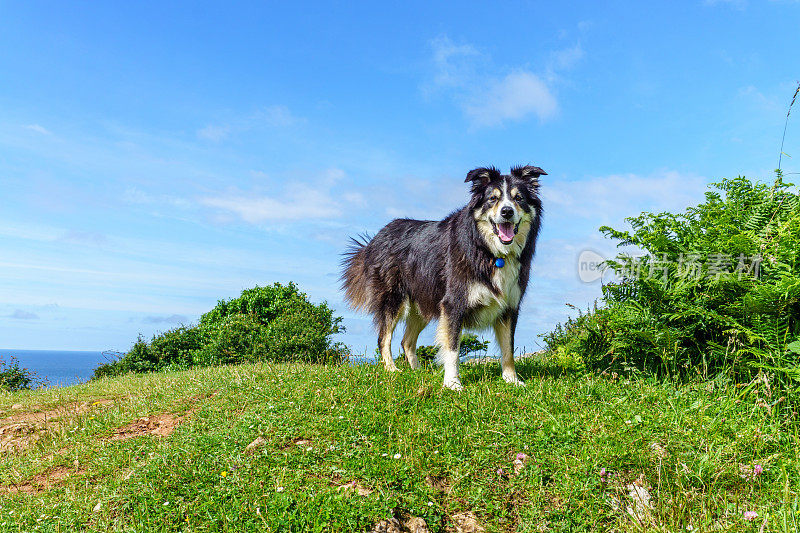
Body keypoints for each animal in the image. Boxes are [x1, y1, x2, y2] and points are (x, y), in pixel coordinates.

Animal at [338, 164, 544, 388]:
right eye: (492, 199)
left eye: (518, 198)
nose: (507, 211)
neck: (489, 251)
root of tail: (375, 239)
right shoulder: (453, 303)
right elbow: (452, 348)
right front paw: (452, 383)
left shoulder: (509, 306)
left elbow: (508, 349)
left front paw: (512, 380)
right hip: (393, 299)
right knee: (384, 337)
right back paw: (392, 370)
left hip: (423, 302)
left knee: (407, 341)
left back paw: (418, 372)